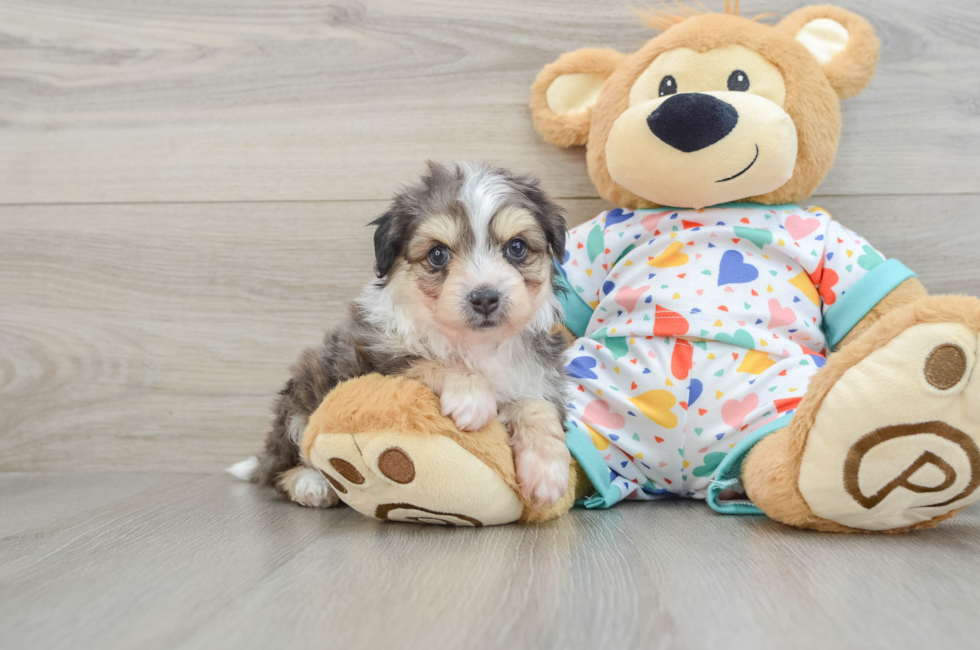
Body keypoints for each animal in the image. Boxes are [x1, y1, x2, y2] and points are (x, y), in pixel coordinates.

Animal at [228, 161, 576, 506]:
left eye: (516, 247)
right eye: (437, 254)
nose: (485, 297)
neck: (476, 345)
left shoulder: (537, 376)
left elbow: (536, 406)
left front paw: (547, 471)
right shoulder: (374, 358)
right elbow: (426, 361)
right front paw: (472, 395)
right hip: (301, 398)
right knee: (280, 467)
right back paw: (311, 485)